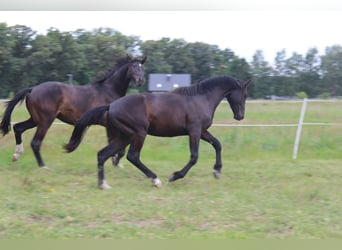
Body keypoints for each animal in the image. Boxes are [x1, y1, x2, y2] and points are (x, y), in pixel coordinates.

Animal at [0, 55, 147, 168]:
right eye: (134, 67)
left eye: (142, 68)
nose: (141, 81)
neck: (108, 90)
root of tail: (32, 89)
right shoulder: (110, 125)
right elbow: (118, 147)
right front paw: (116, 162)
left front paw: (116, 163)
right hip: (45, 121)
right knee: (35, 142)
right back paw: (43, 166)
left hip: (35, 120)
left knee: (18, 128)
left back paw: (16, 155)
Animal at [65, 75, 251, 188]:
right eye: (244, 95)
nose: (240, 116)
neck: (201, 99)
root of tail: (111, 106)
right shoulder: (195, 131)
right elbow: (194, 157)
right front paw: (175, 176)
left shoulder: (202, 131)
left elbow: (217, 144)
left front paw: (217, 172)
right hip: (139, 133)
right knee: (133, 156)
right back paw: (156, 180)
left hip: (124, 136)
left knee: (102, 154)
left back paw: (103, 185)